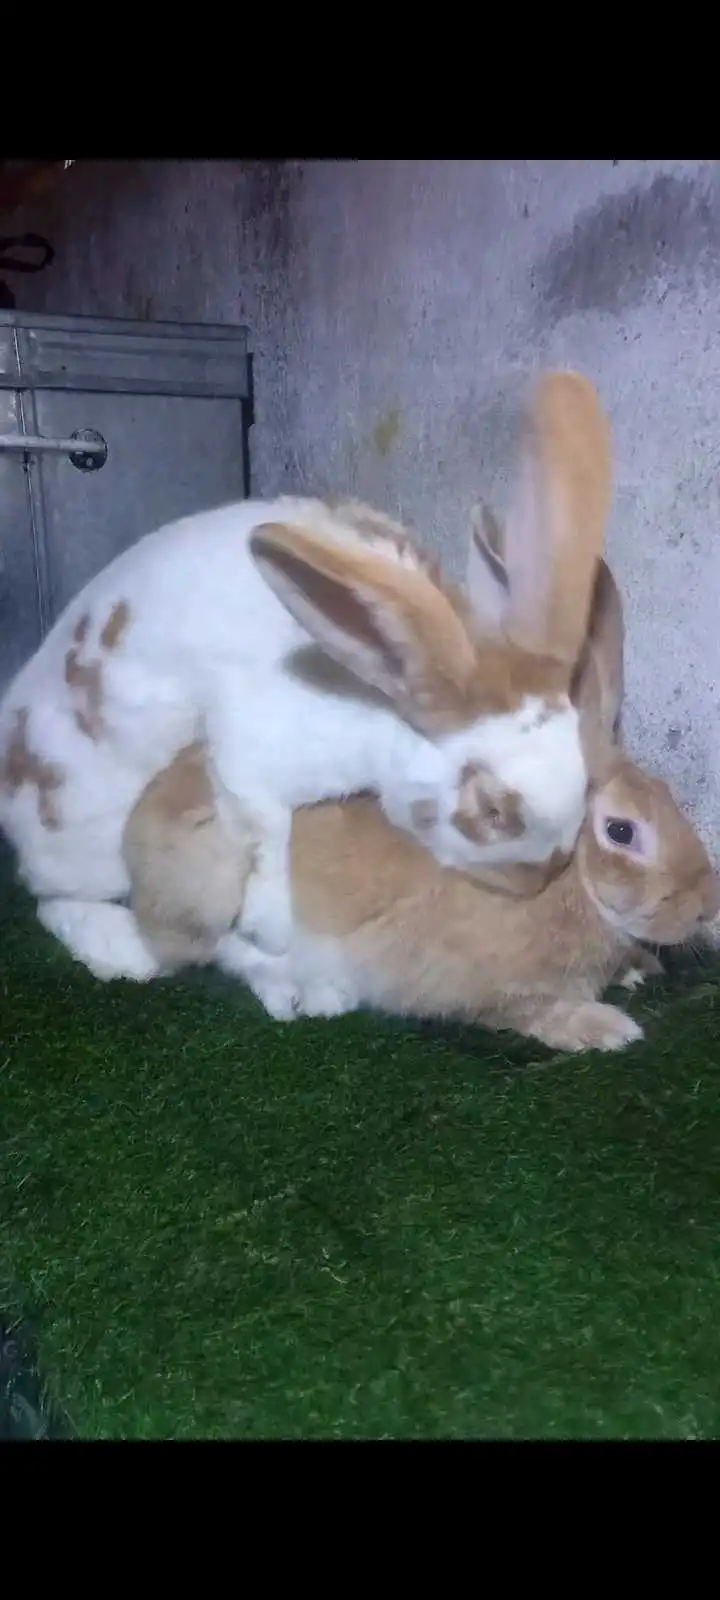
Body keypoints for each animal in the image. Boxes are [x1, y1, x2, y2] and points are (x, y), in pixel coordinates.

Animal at [0, 370, 610, 987]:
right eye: (492, 811)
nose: (539, 878)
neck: (380, 696)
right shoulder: (248, 752)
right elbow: (265, 826)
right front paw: (269, 927)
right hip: (91, 841)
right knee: (54, 899)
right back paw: (111, 944)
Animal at [123, 551, 720, 1049]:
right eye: (622, 831)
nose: (706, 907)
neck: (569, 877)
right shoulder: (478, 986)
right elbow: (528, 1012)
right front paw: (607, 1029)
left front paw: (638, 967)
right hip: (219, 883)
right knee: (227, 952)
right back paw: (310, 997)